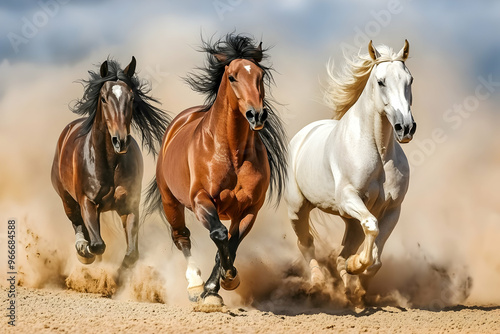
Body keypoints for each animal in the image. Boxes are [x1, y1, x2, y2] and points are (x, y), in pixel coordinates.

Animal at [51, 56, 170, 276]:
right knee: (77, 223)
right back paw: (82, 248)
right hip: (67, 199)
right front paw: (87, 253)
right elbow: (97, 245)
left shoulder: (129, 207)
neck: (108, 163)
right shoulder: (87, 202)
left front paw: (116, 277)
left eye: (131, 98)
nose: (120, 141)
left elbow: (131, 254)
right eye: (104, 98)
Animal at [145, 33, 288, 306]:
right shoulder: (201, 200)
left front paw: (221, 283)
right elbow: (220, 235)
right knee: (182, 237)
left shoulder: (249, 209)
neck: (231, 154)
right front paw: (216, 284)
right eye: (232, 77)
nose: (257, 115)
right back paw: (193, 286)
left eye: (260, 75)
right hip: (171, 202)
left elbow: (231, 243)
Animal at [284, 40, 416, 302]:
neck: (378, 153)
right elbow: (371, 228)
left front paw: (360, 282)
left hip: (351, 222)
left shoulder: (392, 210)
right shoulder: (348, 199)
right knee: (306, 243)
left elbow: (376, 259)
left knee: (341, 252)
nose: (405, 128)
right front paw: (357, 265)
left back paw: (347, 289)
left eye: (410, 80)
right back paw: (317, 282)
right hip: (298, 209)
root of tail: (304, 135)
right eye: (381, 81)